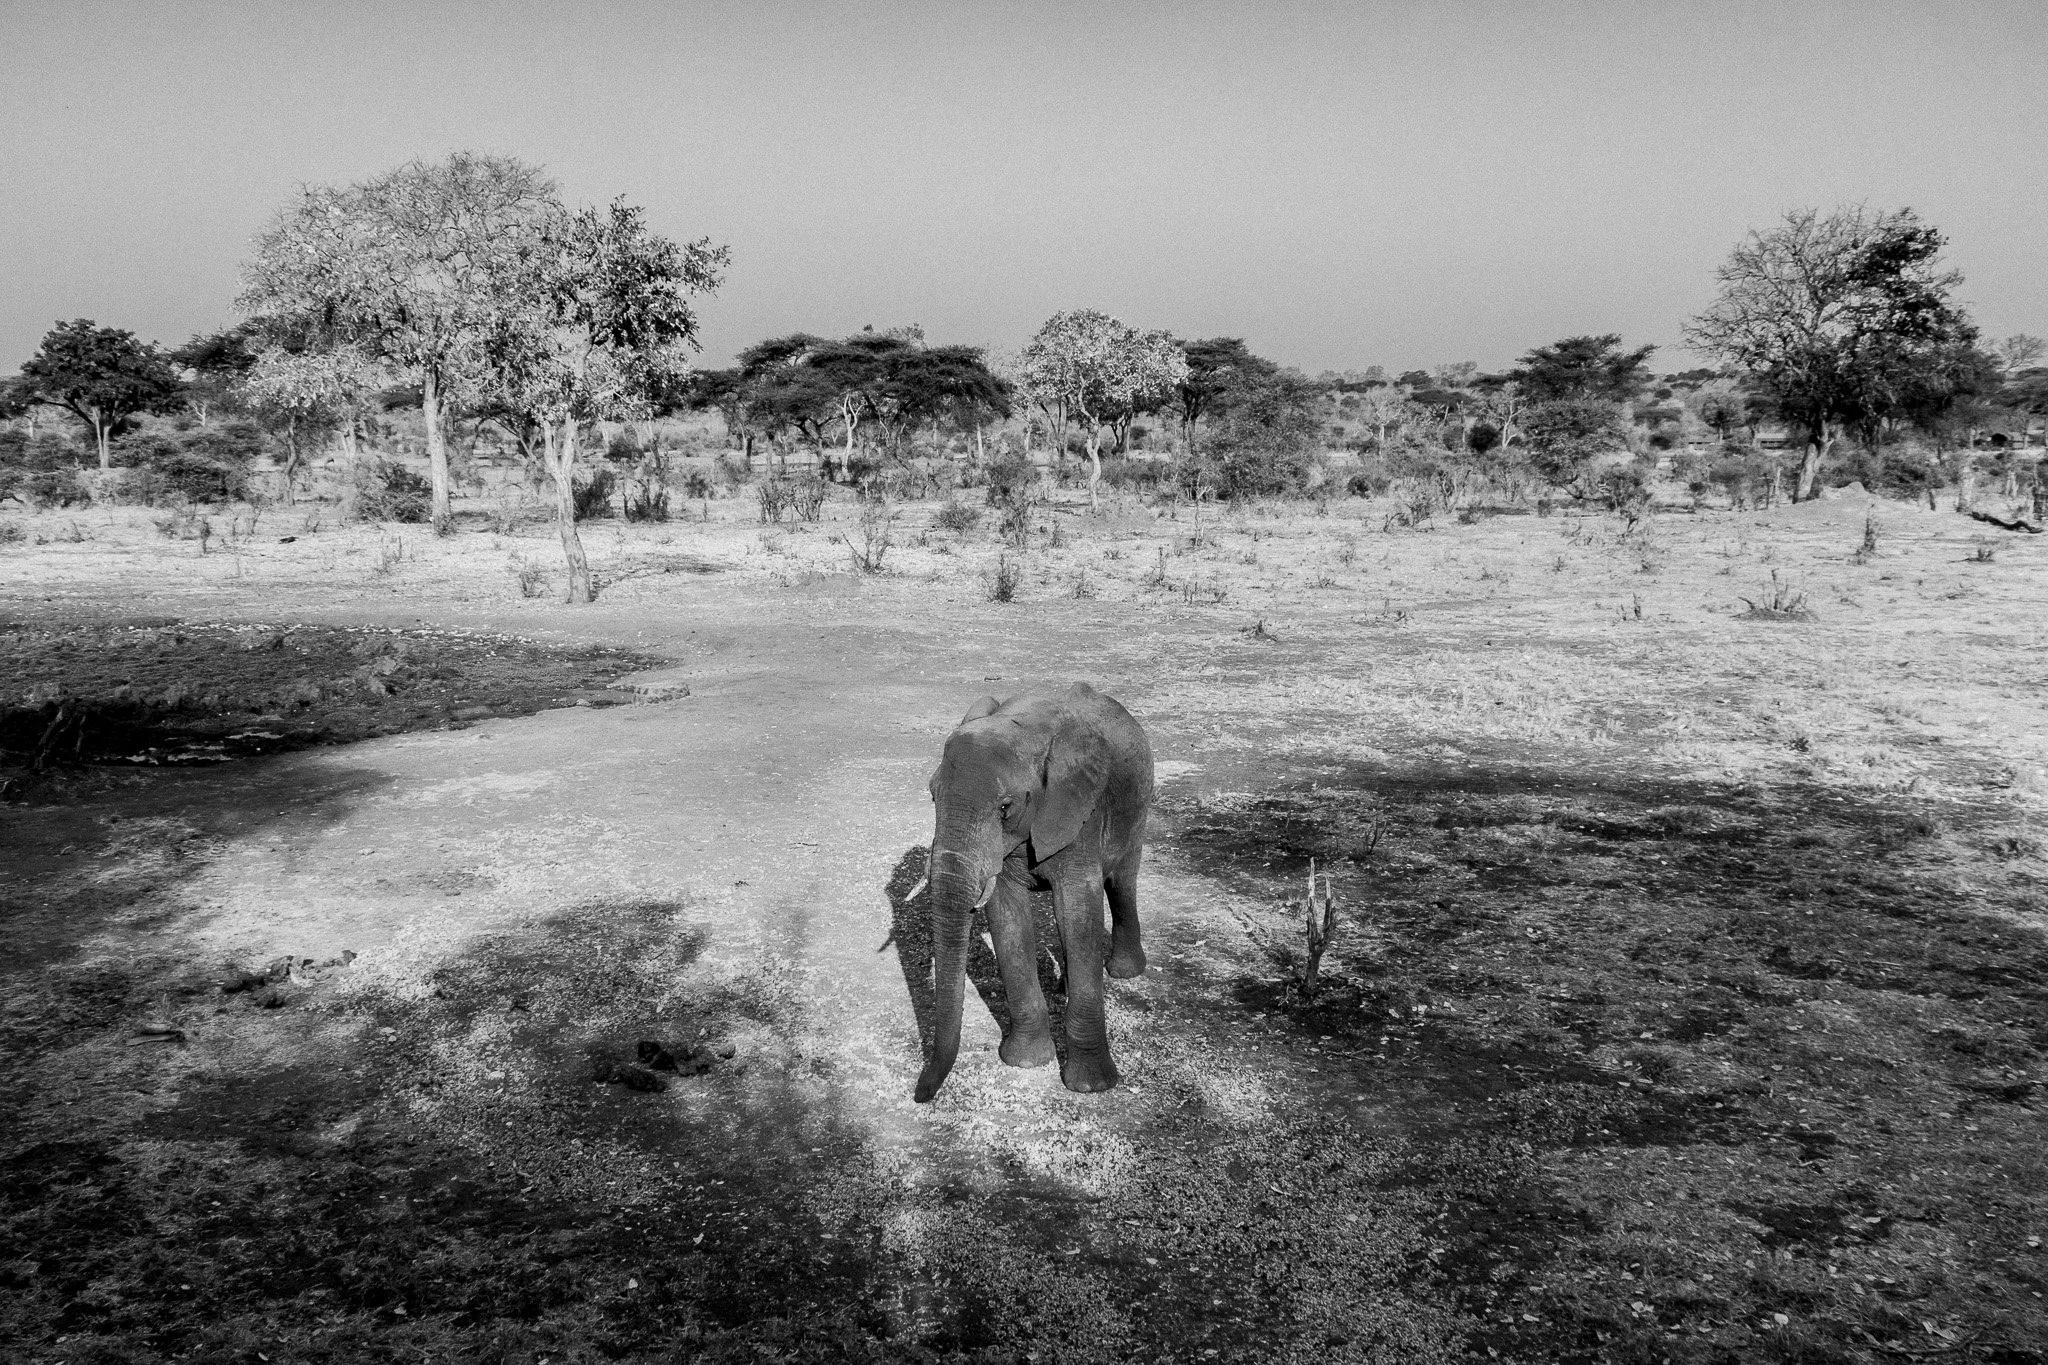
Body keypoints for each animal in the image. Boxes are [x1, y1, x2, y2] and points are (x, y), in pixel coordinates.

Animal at [915, 682, 1153, 1103]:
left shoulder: (1081, 810)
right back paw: (1065, 987)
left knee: (1122, 883)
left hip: (1137, 806)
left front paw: (1090, 1087)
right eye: (931, 795)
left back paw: (1124, 972)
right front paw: (1025, 1062)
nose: (919, 1095)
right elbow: (1007, 914)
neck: (1022, 727)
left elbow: (1077, 906)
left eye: (1005, 807)